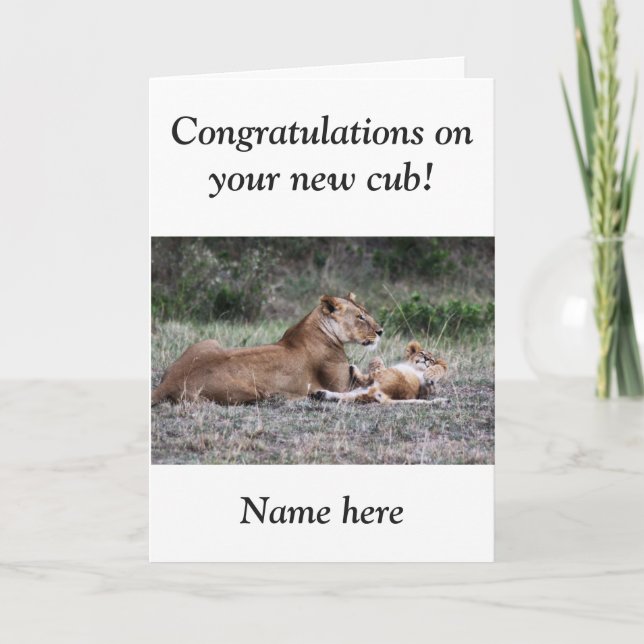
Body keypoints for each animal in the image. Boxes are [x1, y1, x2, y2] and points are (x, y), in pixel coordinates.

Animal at [151, 293, 383, 405]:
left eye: (366, 312)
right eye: (360, 317)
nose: (381, 331)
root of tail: (170, 382)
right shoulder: (340, 386)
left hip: (209, 341)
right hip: (255, 391)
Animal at [311, 340, 448, 404]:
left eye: (431, 359)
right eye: (422, 353)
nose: (426, 359)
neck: (416, 369)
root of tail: (380, 393)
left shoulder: (428, 388)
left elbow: (442, 366)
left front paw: (429, 374)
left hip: (388, 373)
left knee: (369, 376)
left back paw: (353, 368)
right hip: (359, 391)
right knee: (347, 395)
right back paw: (321, 394)